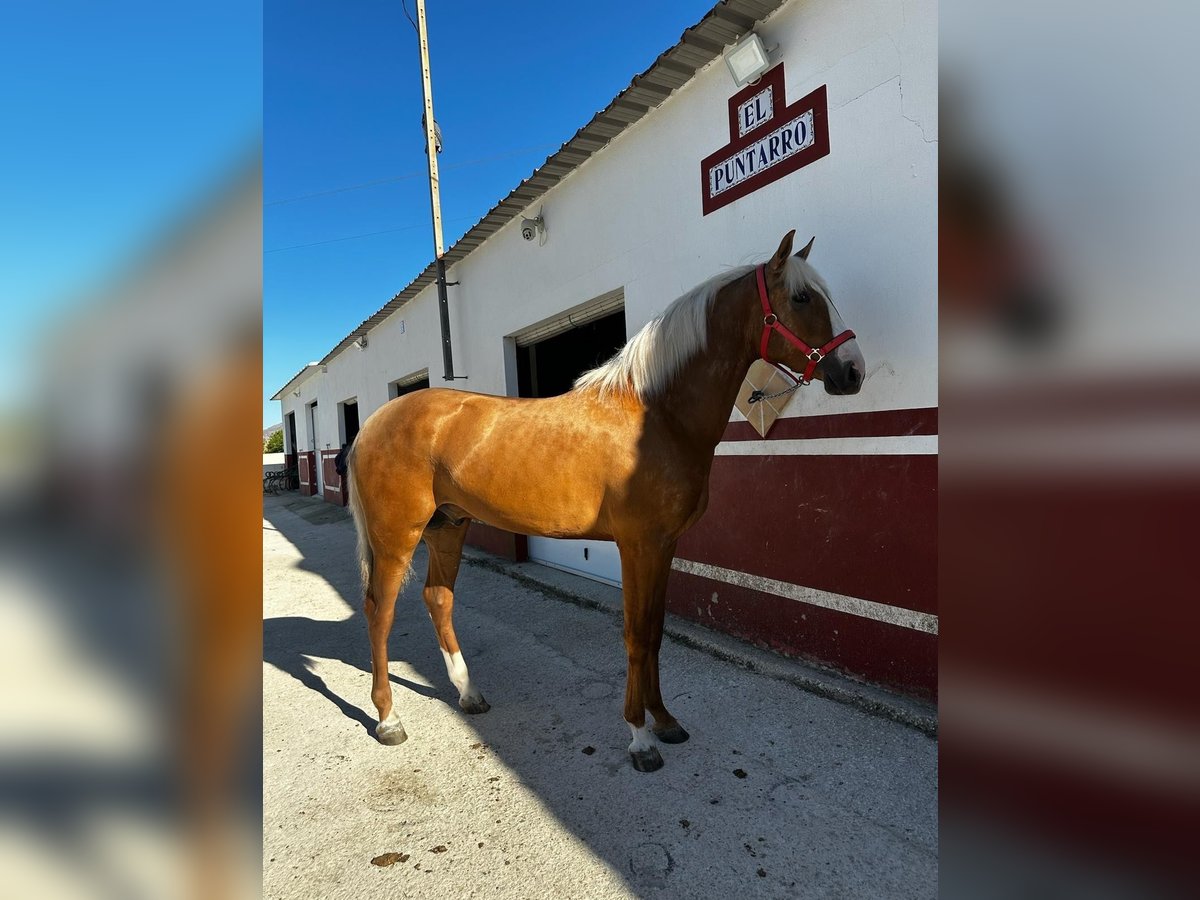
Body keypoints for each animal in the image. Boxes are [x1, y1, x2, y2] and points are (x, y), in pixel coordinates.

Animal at [348, 232, 864, 777]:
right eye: (802, 298)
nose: (852, 371)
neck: (658, 414)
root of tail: (373, 422)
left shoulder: (663, 546)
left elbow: (655, 632)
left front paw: (665, 721)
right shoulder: (637, 546)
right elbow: (636, 635)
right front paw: (640, 738)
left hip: (449, 526)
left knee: (438, 599)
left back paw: (469, 694)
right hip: (397, 535)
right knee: (380, 611)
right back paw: (388, 719)